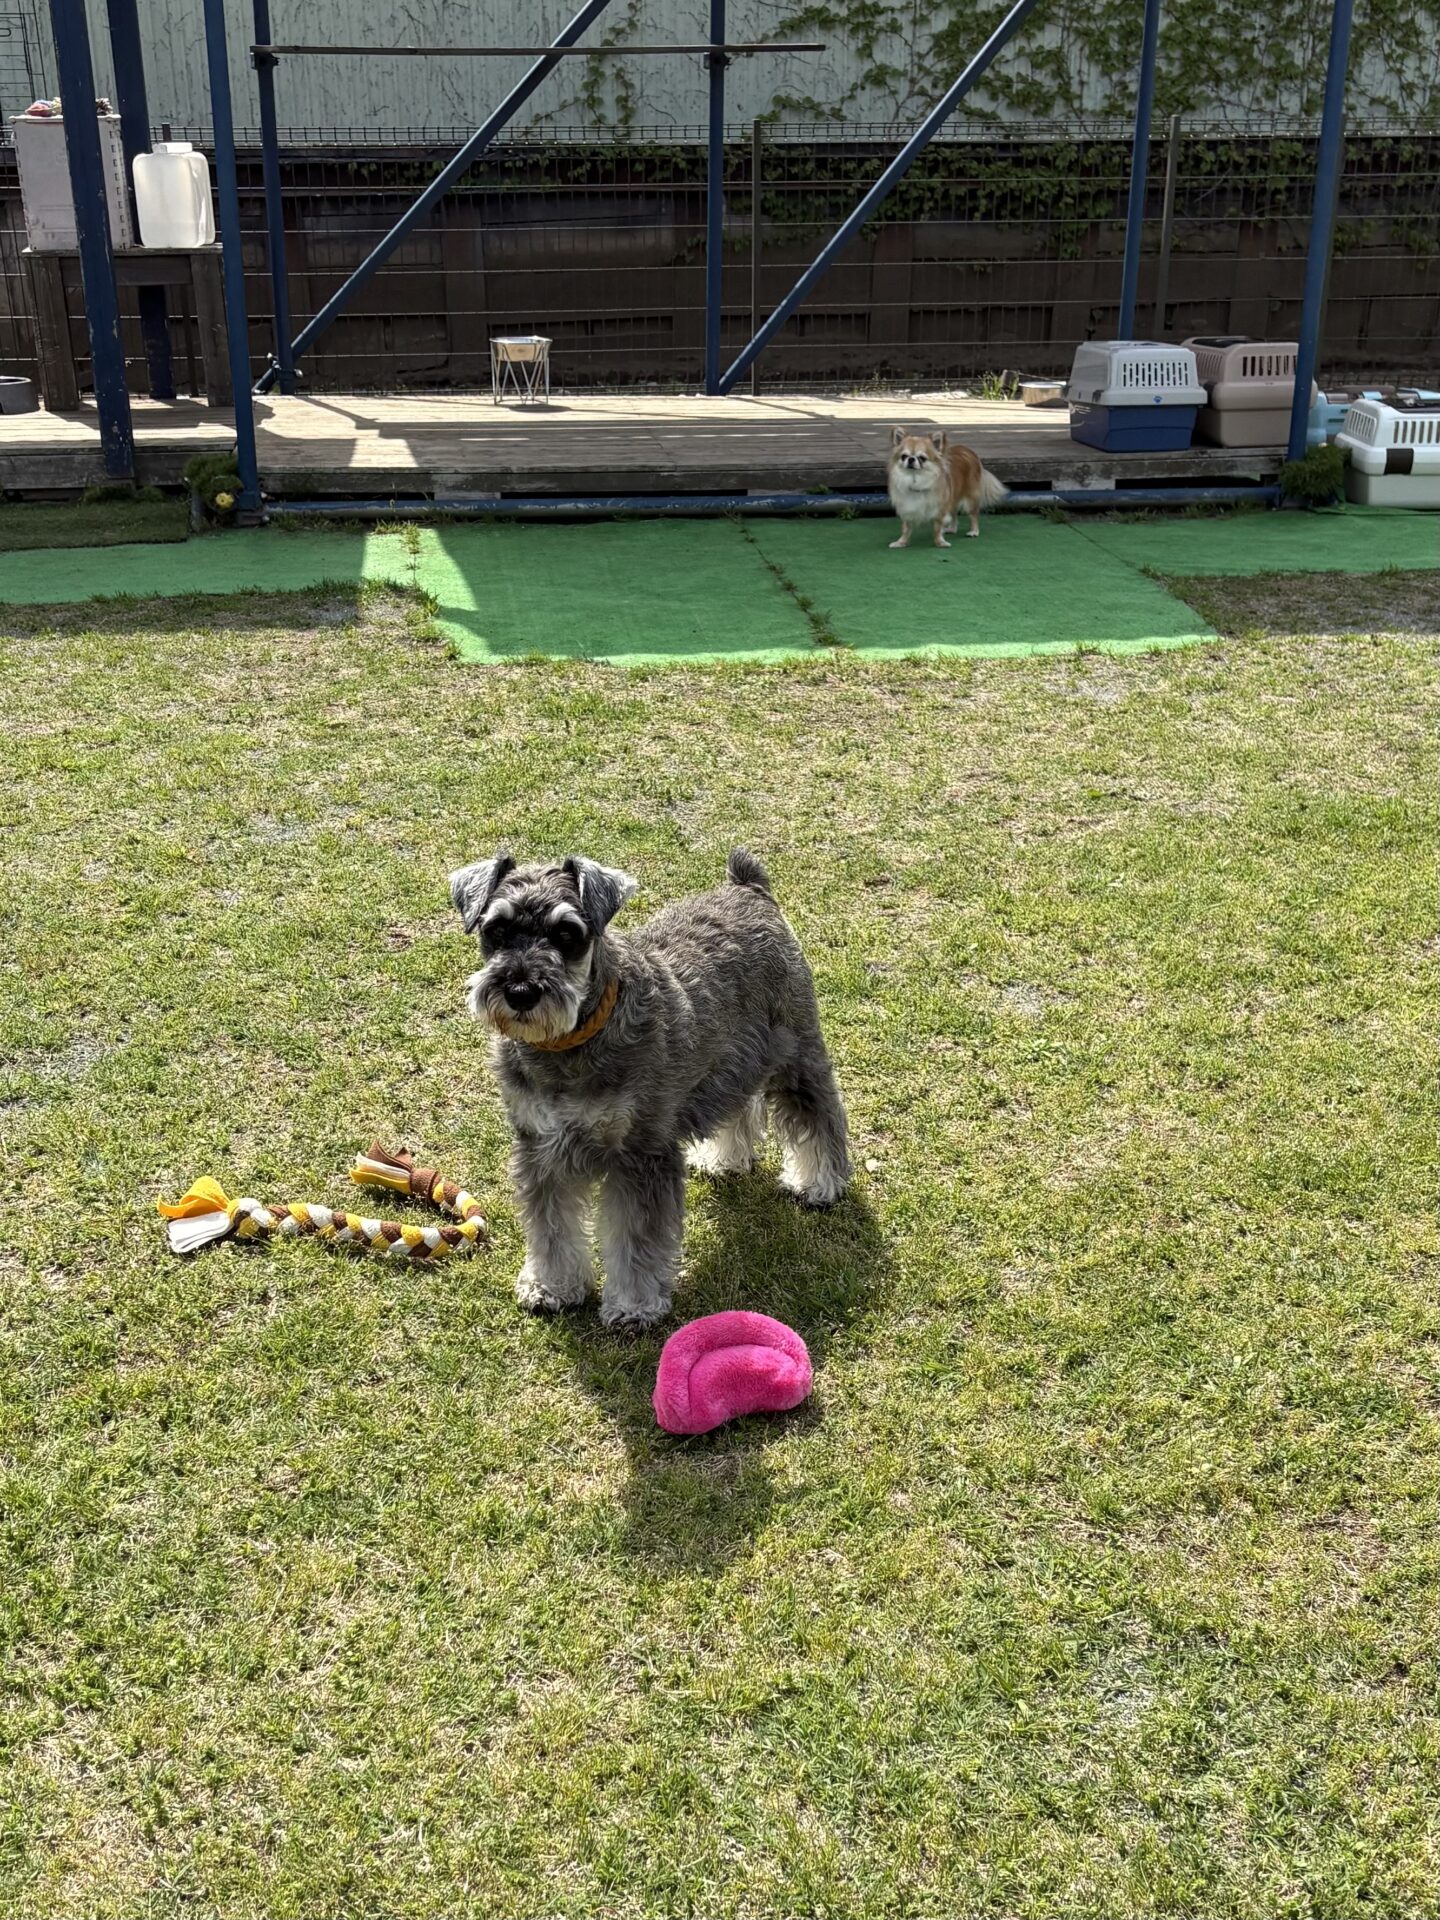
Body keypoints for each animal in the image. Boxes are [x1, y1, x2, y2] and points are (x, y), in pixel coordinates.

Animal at [449, 848, 850, 1329]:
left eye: (567, 933)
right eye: (496, 930)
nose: (521, 990)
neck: (570, 1042)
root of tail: (749, 887)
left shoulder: (640, 1155)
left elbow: (635, 1238)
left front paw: (633, 1305)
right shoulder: (540, 1148)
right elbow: (551, 1227)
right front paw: (552, 1286)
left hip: (796, 1056)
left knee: (818, 1114)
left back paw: (818, 1183)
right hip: (729, 1060)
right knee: (737, 1107)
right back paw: (724, 1158)